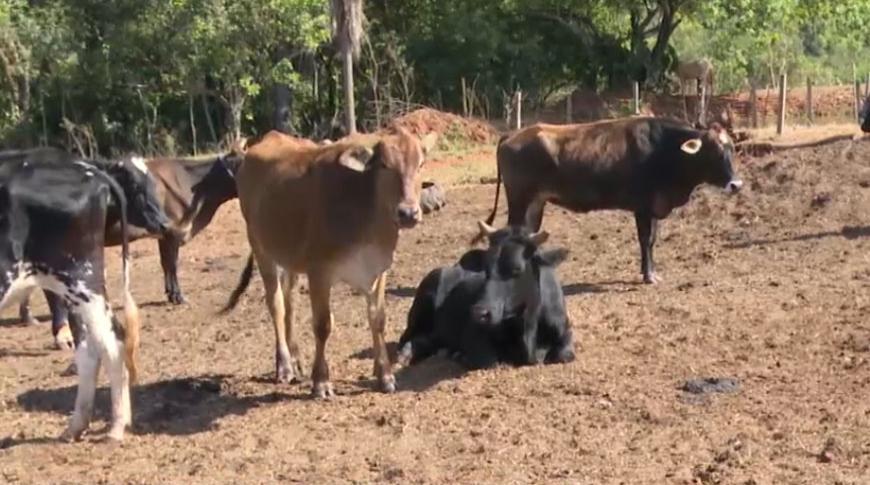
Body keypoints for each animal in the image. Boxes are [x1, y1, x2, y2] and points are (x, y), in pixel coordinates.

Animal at [0, 157, 145, 440]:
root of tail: (85, 167)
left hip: (80, 278)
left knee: (111, 343)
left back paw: (116, 427)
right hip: (69, 286)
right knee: (88, 348)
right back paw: (78, 425)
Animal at [220, 129, 434, 398]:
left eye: (421, 164)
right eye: (385, 165)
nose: (408, 213)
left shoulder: (378, 269)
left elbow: (378, 320)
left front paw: (384, 375)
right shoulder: (319, 271)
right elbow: (323, 325)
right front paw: (321, 381)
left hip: (291, 258)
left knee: (290, 301)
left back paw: (296, 358)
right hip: (261, 247)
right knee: (276, 304)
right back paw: (284, 365)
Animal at [398, 221, 576, 368]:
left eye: (517, 269)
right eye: (486, 267)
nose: (480, 313)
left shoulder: (566, 331)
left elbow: (564, 353)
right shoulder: (474, 335)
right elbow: (488, 359)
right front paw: (460, 355)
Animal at [484, 117, 744, 284]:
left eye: (731, 148)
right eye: (712, 151)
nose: (736, 184)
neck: (664, 150)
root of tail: (512, 134)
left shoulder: (654, 206)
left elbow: (652, 240)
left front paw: (650, 272)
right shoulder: (642, 207)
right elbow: (646, 239)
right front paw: (648, 276)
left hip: (536, 202)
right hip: (519, 200)